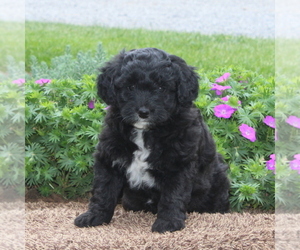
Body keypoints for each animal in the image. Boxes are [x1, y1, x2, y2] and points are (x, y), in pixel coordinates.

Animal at [75, 47, 230, 232]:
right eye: (130, 86)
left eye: (162, 87)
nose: (143, 112)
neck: (146, 132)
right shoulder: (109, 158)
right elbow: (103, 191)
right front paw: (94, 216)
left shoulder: (178, 164)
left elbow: (173, 196)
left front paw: (168, 223)